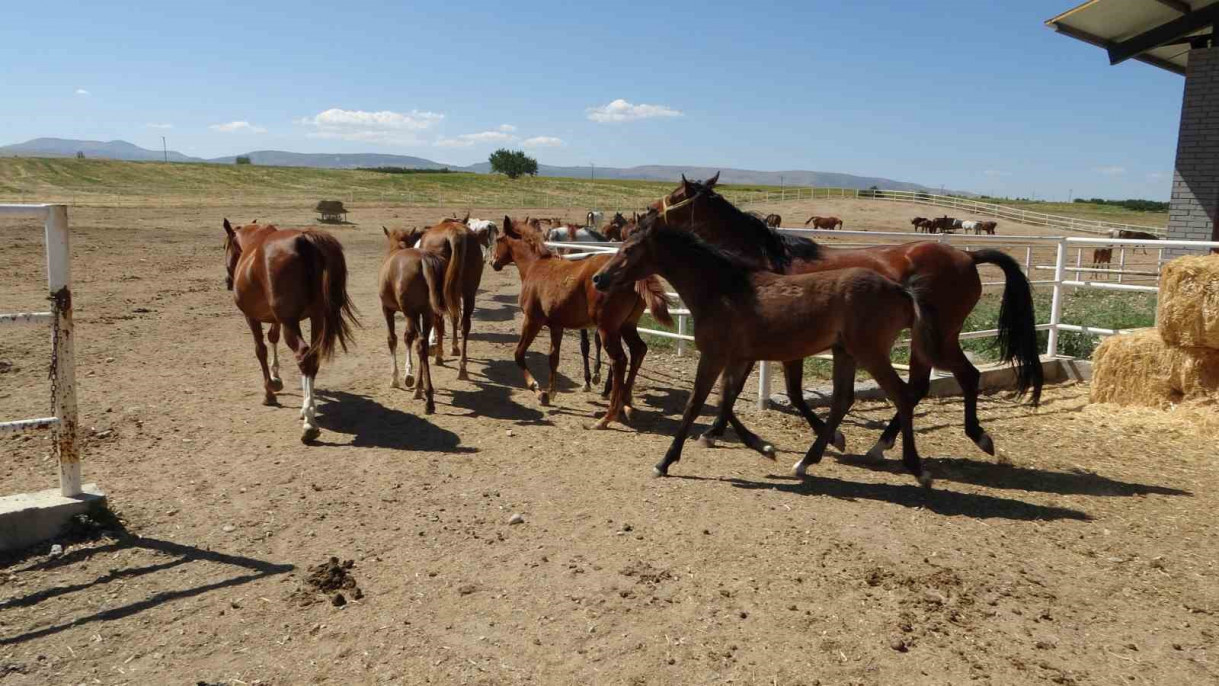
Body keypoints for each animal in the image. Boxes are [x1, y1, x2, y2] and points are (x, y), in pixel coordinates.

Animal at [223, 221, 355, 445]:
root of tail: (305, 239)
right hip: (317, 318)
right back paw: (307, 410)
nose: (227, 281)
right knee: (312, 357)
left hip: (290, 322)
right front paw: (277, 378)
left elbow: (260, 350)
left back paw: (309, 423)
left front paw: (270, 390)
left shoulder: (252, 317)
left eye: (225, 247)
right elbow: (273, 339)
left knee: (303, 355)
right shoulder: (276, 319)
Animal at [377, 229, 451, 414]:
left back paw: (427, 397)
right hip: (427, 313)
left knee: (420, 343)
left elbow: (393, 339)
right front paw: (409, 376)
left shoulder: (387, 309)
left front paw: (395, 378)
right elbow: (408, 337)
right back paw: (422, 390)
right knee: (422, 344)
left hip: (412, 312)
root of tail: (424, 260)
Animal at [487, 216, 677, 426]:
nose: (493, 262)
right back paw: (626, 403)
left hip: (607, 328)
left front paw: (538, 390)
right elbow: (553, 358)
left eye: (499, 239)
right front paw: (550, 393)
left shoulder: (532, 320)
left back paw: (609, 415)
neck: (535, 266)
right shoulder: (556, 326)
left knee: (619, 360)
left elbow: (519, 354)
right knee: (638, 350)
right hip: (627, 326)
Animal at [594, 216, 936, 484]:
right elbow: (724, 401)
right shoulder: (738, 357)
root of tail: (900, 290)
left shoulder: (715, 355)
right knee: (843, 399)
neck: (724, 290)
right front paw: (764, 448)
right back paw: (806, 462)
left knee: (901, 395)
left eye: (629, 249)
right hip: (845, 353)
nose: (599, 278)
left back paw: (916, 469)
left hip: (870, 353)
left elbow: (696, 404)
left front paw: (664, 463)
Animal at [648, 176, 1038, 465]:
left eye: (676, 195)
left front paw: (832, 437)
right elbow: (733, 391)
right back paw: (886, 444)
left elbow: (786, 393)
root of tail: (968, 256)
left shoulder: (778, 346)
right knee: (925, 386)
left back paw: (971, 438)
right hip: (926, 340)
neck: (764, 265)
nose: (648, 212)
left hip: (939, 337)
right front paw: (715, 432)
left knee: (954, 379)